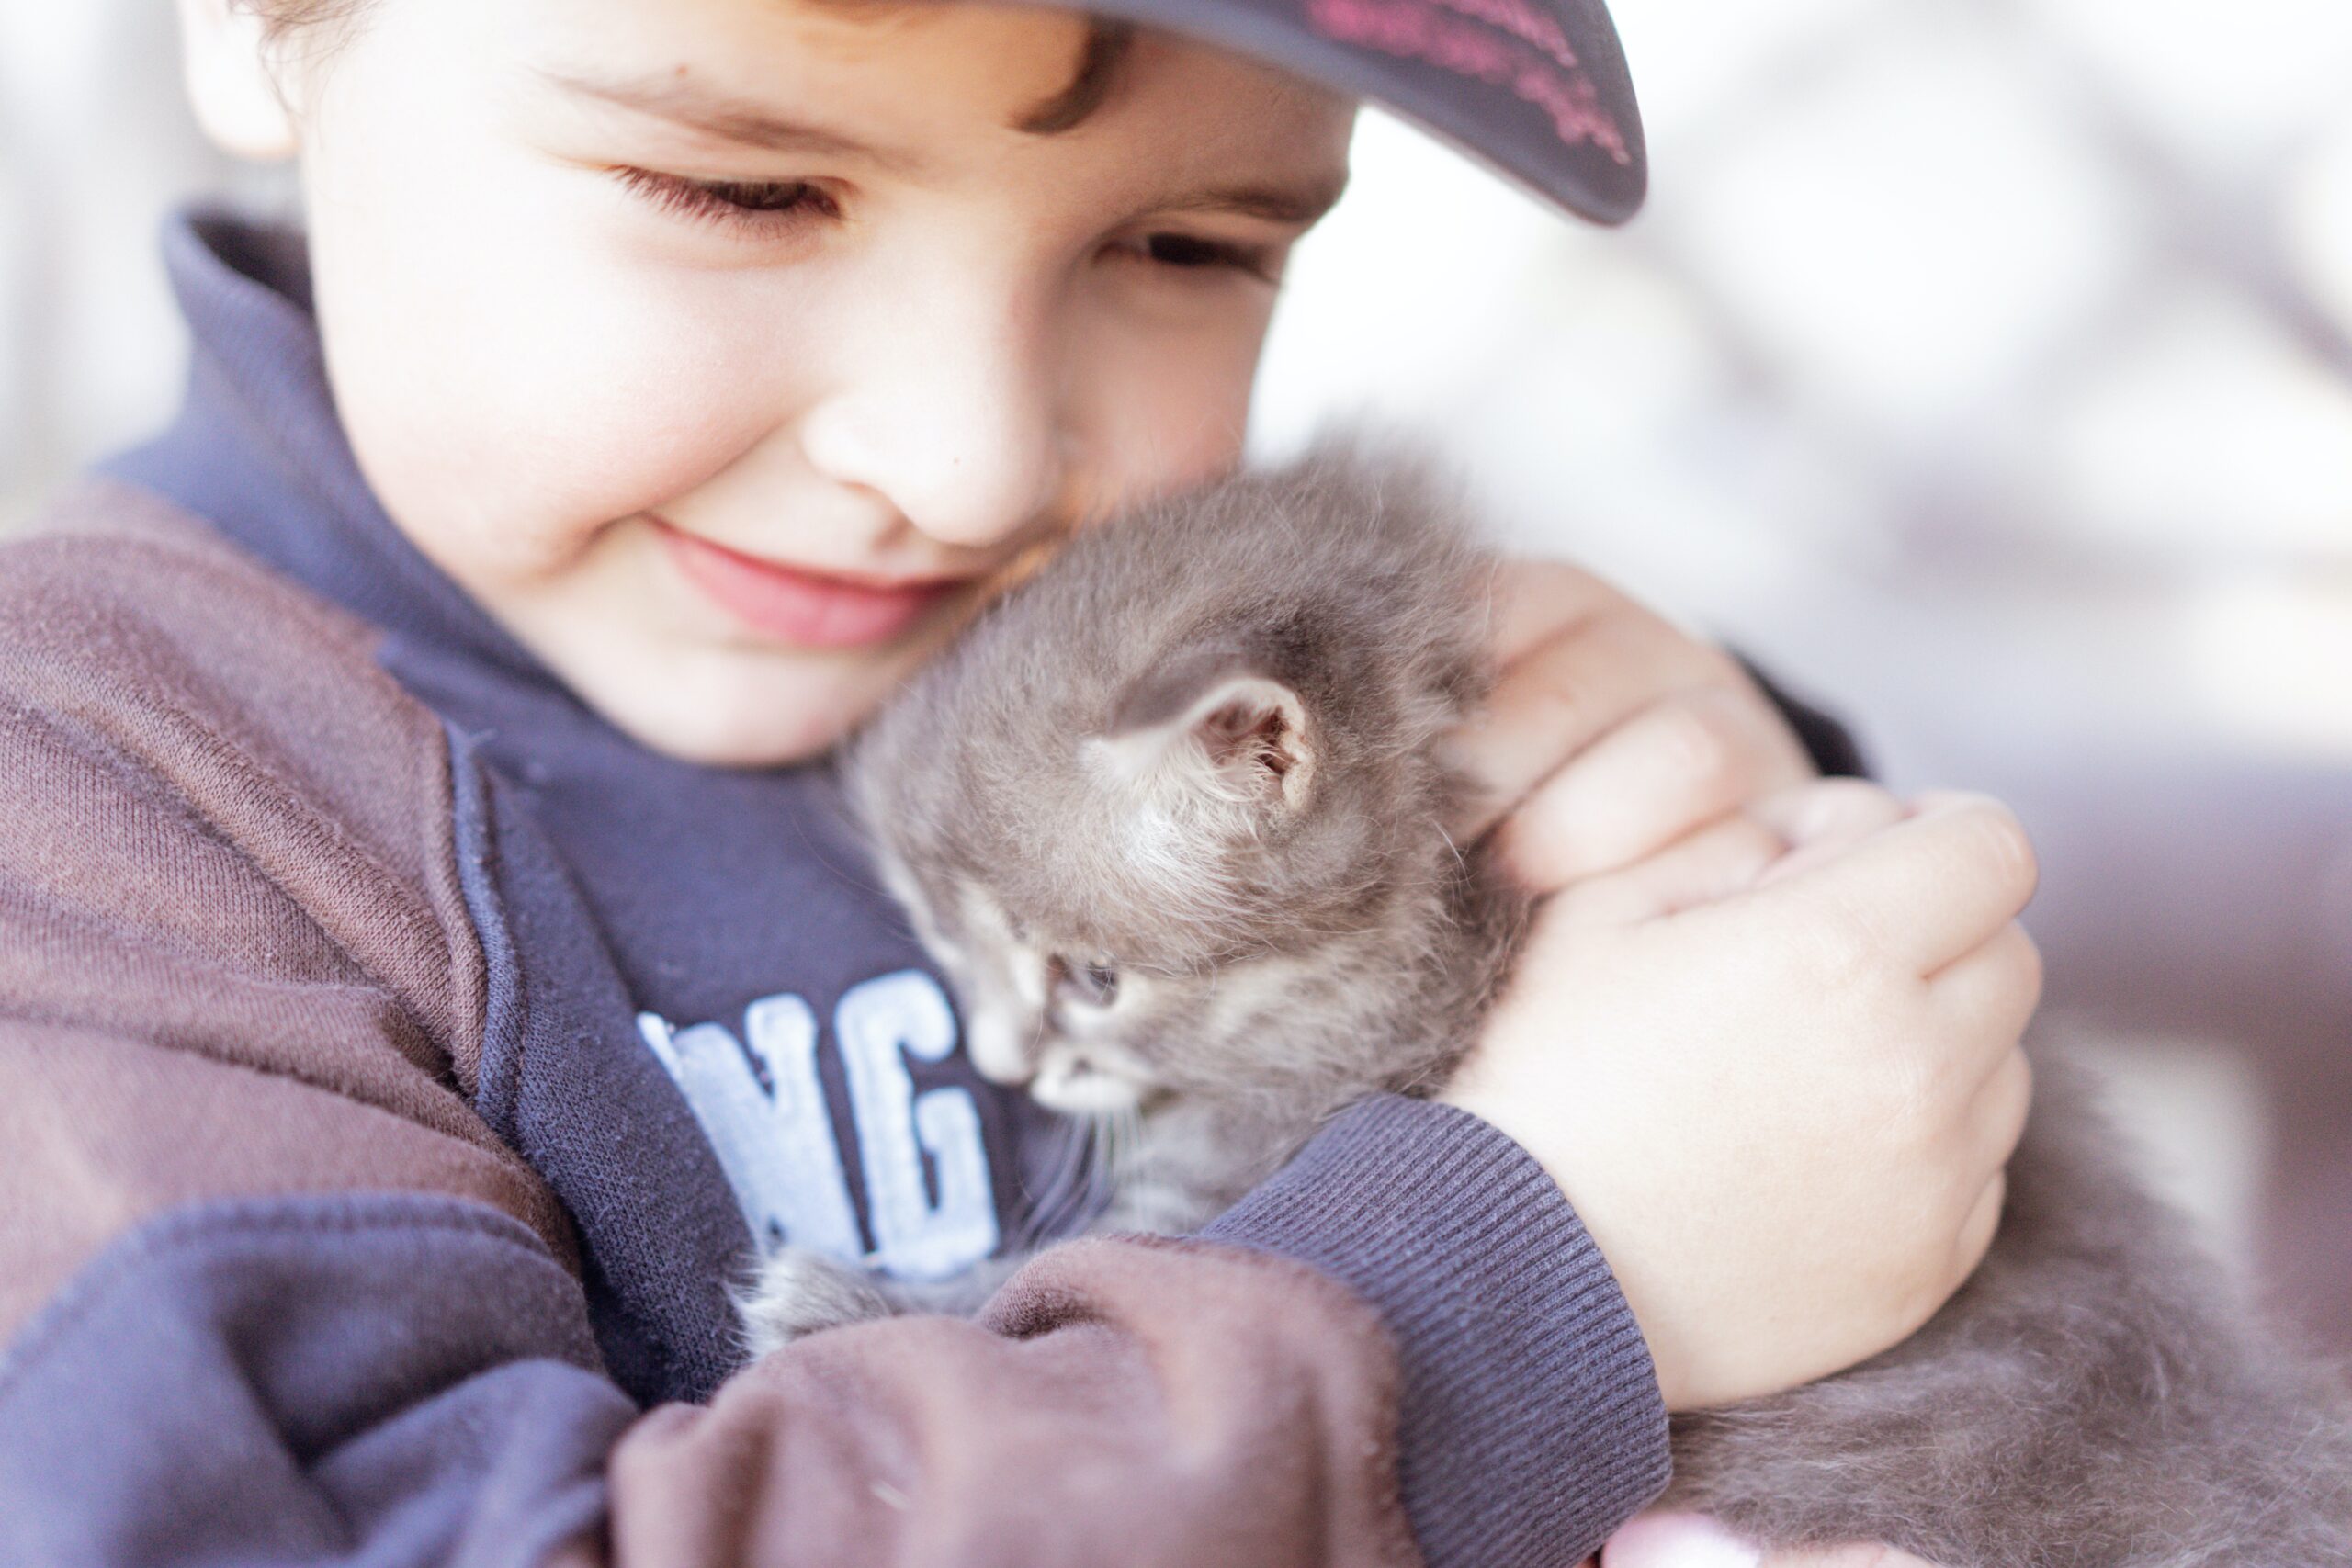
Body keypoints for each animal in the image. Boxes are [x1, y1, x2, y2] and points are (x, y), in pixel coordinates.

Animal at [748, 446, 2352, 1561]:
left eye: (1086, 974)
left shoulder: (1260, 1155)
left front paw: (847, 1300)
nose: (1004, 1058)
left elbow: (1075, 1291)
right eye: (948, 953)